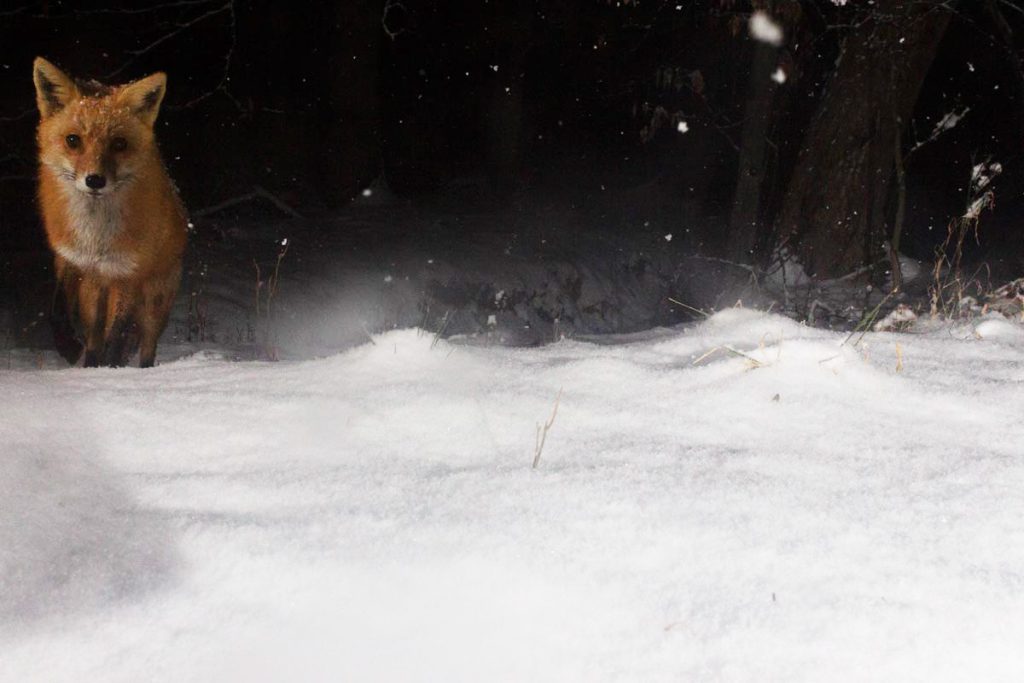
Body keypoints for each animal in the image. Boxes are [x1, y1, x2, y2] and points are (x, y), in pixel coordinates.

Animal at [33, 57, 188, 368]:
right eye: (73, 140)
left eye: (119, 144)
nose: (95, 180)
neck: (95, 237)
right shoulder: (73, 261)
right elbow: (57, 310)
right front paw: (70, 347)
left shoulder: (128, 274)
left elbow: (118, 335)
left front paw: (111, 371)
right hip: (93, 293)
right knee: (94, 337)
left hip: (154, 301)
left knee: (146, 345)